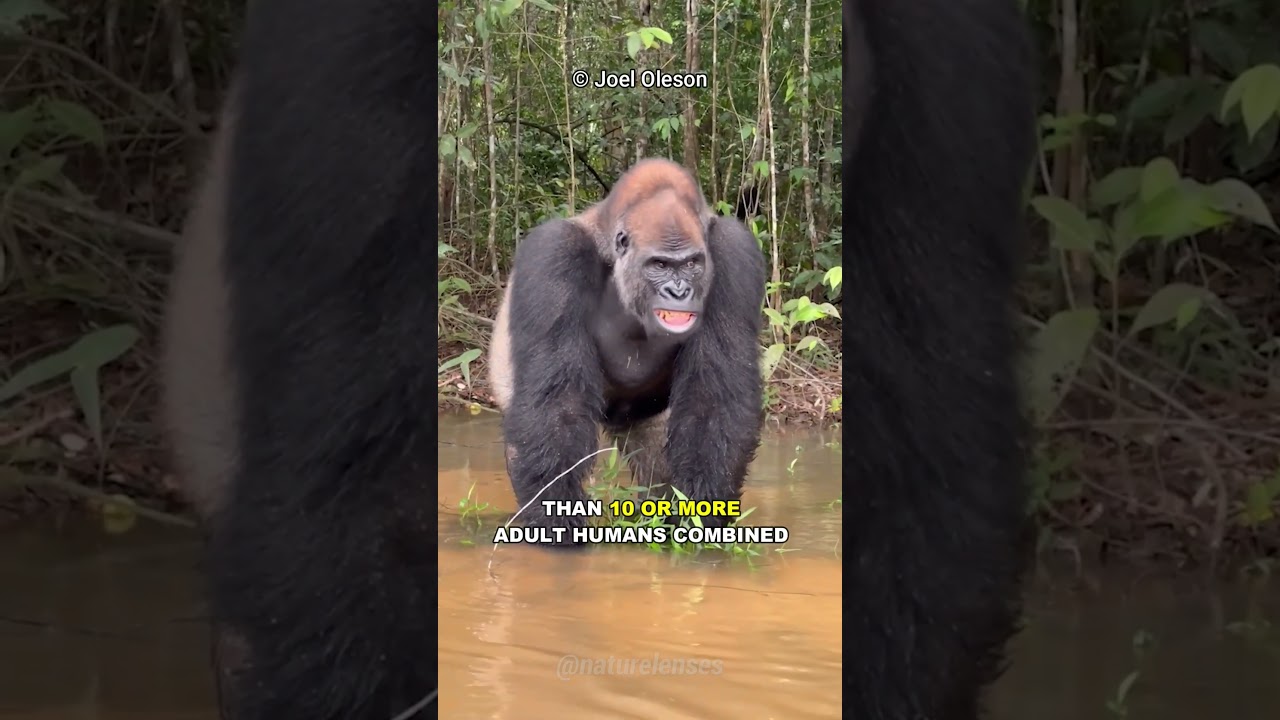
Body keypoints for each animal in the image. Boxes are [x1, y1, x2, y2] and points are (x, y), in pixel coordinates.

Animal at [488, 157, 767, 542]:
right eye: (660, 265)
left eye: (692, 264)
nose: (679, 292)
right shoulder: (554, 253)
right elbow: (557, 408)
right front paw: (554, 524)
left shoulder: (734, 250)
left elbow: (714, 403)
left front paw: (702, 519)